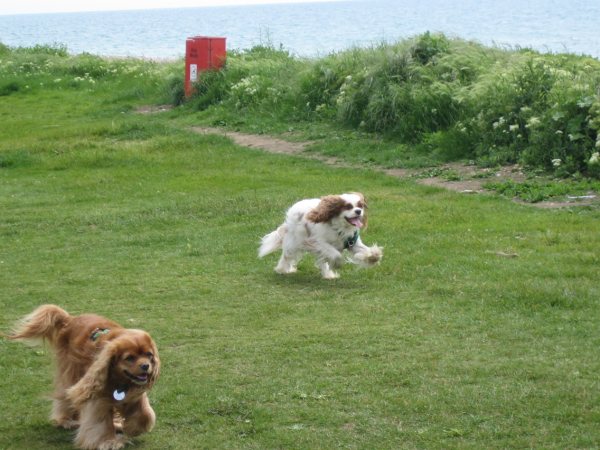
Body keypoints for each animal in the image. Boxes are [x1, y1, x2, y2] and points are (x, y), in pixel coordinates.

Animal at [8, 304, 160, 450]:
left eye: (149, 355)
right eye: (129, 358)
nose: (146, 366)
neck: (120, 380)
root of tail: (70, 319)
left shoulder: (134, 394)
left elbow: (145, 413)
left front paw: (133, 428)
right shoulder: (97, 396)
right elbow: (101, 422)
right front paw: (108, 441)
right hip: (70, 374)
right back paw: (67, 420)